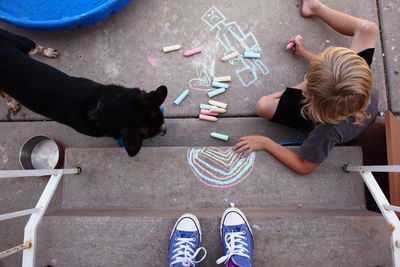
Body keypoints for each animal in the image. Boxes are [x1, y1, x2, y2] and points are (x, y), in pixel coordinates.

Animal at [0, 28, 167, 157]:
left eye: (162, 118)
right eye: (151, 133)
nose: (165, 131)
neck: (102, 105)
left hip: (24, 44)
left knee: (36, 47)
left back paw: (48, 52)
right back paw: (11, 101)